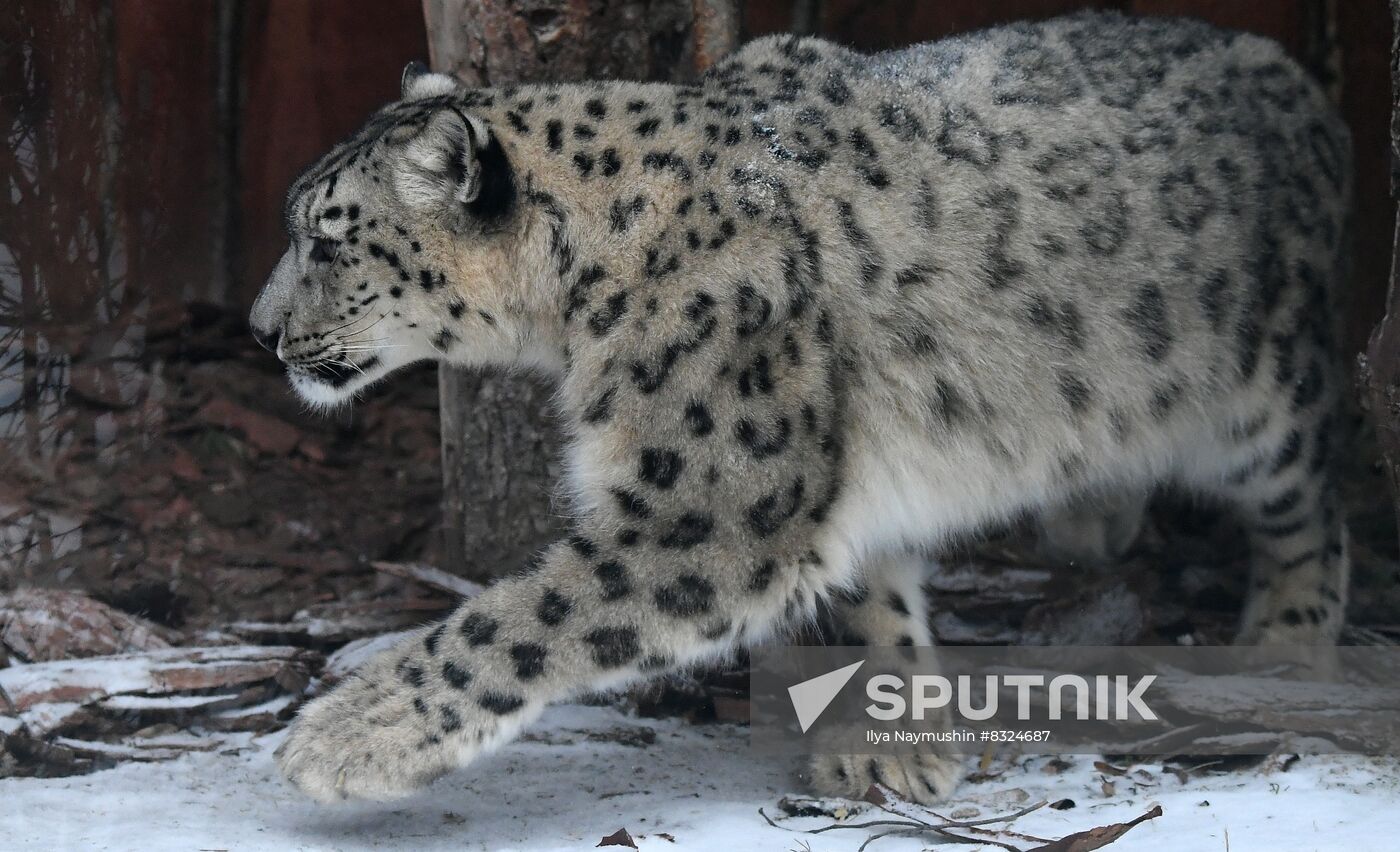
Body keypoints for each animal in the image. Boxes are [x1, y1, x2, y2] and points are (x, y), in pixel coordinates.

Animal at [246, 9, 1349, 800]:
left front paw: (349, 736)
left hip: (1264, 392)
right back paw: (1091, 512)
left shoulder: (711, 507)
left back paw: (1289, 644)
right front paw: (885, 743)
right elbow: (868, 597)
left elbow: (520, 619)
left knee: (1314, 503)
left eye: (327, 239)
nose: (258, 330)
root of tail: (1294, 77)